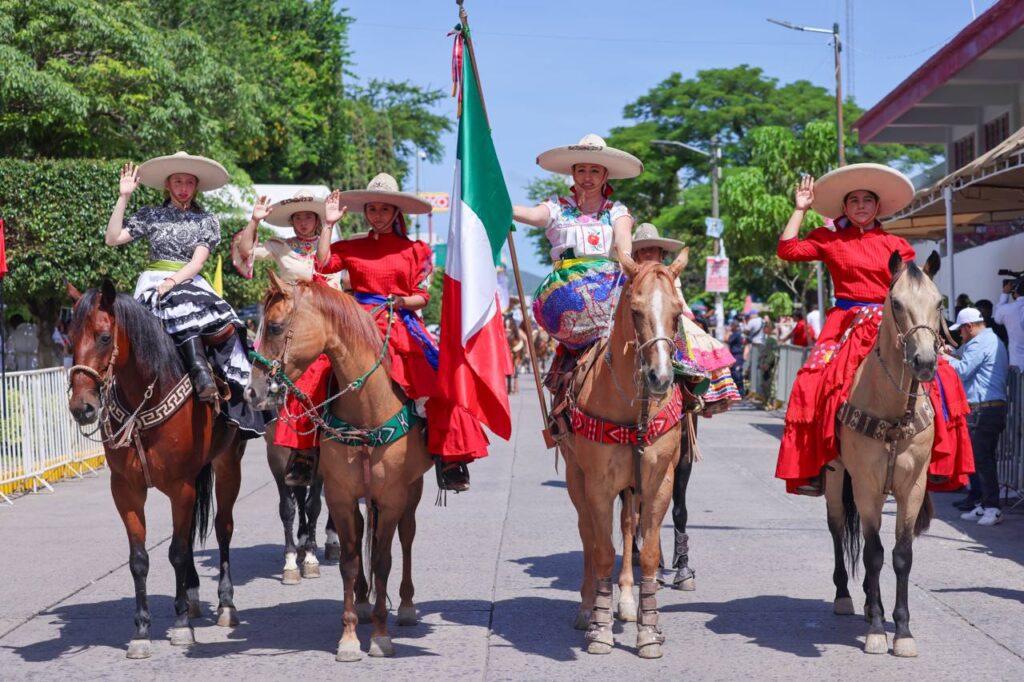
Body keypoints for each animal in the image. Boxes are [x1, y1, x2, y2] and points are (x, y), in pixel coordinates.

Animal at [66, 281, 246, 659]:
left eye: (104, 336)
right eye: (70, 338)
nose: (82, 408)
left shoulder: (181, 486)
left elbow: (176, 552)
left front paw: (180, 627)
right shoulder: (125, 490)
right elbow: (139, 559)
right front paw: (142, 631)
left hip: (227, 465)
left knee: (223, 528)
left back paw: (225, 604)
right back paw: (191, 596)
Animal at [245, 272, 431, 662]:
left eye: (275, 326)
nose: (251, 392)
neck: (367, 407)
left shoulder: (391, 495)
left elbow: (383, 559)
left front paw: (380, 637)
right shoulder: (339, 493)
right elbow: (348, 558)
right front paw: (348, 637)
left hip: (413, 489)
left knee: (406, 536)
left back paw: (406, 606)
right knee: (358, 535)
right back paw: (361, 600)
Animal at [560, 250, 688, 659]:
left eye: (678, 311)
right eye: (635, 311)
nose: (660, 378)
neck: (633, 409)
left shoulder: (659, 481)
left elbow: (646, 553)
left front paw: (649, 629)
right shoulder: (598, 483)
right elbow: (601, 551)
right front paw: (599, 627)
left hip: (632, 486)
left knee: (628, 528)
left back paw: (629, 603)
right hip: (576, 478)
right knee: (587, 532)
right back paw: (587, 609)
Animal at [825, 251, 944, 658]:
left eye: (940, 303)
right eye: (895, 303)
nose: (924, 361)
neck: (893, 412)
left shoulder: (912, 488)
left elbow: (901, 556)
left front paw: (903, 632)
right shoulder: (866, 487)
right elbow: (874, 554)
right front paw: (878, 630)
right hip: (835, 477)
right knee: (836, 528)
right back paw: (845, 597)